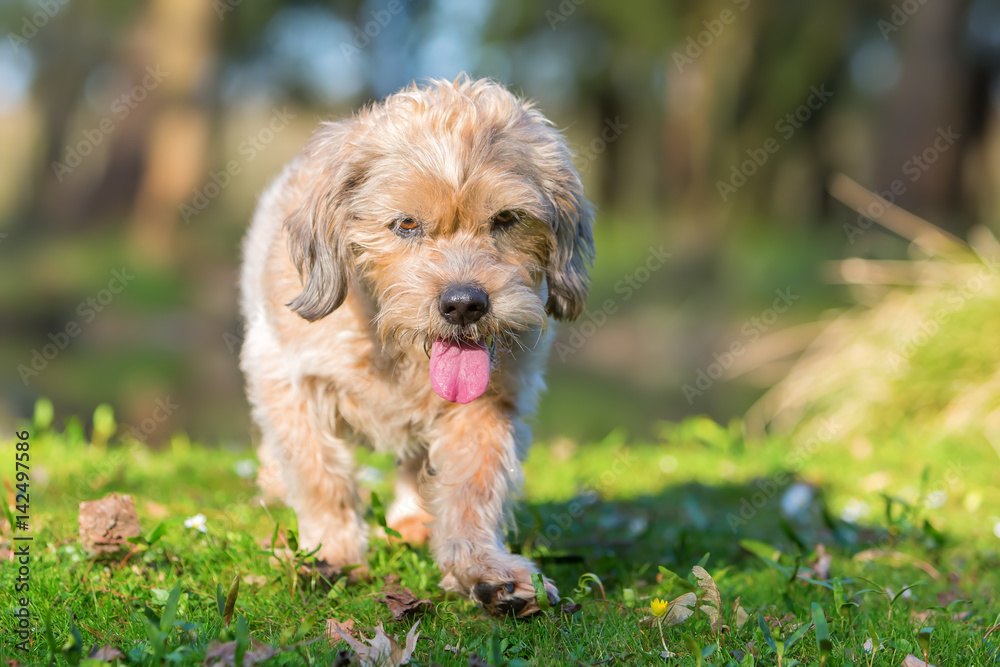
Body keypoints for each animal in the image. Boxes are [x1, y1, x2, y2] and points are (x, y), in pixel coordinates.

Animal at [241, 75, 592, 620]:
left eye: (506, 218)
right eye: (405, 224)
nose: (465, 304)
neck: (396, 348)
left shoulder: (490, 402)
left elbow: (473, 484)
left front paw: (484, 570)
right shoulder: (285, 376)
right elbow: (319, 473)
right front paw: (329, 553)